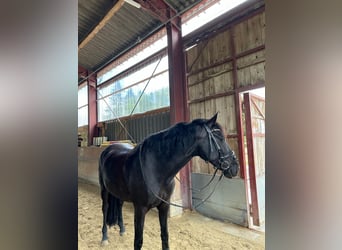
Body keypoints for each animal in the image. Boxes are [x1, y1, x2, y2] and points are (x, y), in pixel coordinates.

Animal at [97, 114, 239, 250]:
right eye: (219, 137)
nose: (235, 167)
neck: (155, 168)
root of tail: (109, 148)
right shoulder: (140, 209)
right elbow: (138, 242)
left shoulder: (164, 206)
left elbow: (165, 235)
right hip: (104, 190)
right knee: (105, 209)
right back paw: (104, 238)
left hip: (118, 193)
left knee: (119, 206)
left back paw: (122, 230)